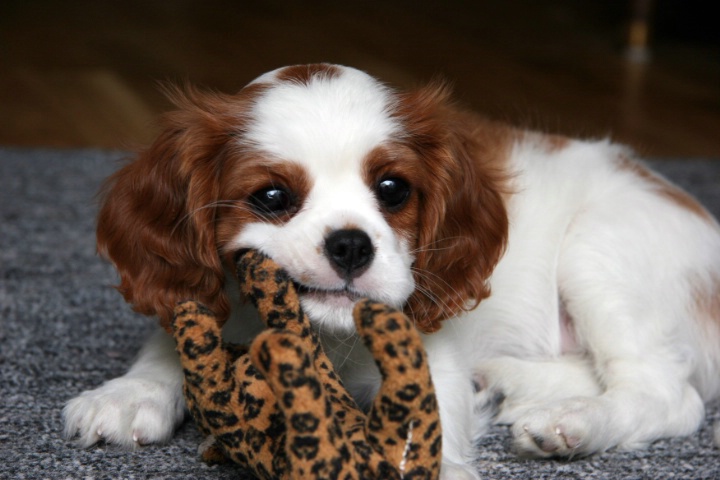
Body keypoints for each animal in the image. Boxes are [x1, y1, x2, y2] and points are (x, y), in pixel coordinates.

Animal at [64, 62, 720, 476]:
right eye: (272, 197)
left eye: (393, 189)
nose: (351, 246)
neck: (328, 338)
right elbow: (181, 327)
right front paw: (130, 392)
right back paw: (510, 382)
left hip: (600, 252)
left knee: (669, 395)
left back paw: (573, 421)